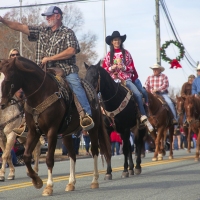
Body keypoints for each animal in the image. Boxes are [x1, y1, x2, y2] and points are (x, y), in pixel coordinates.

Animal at [0, 57, 111, 196]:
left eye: (10, 76)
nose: (2, 103)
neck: (40, 95)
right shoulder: (33, 131)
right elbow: (26, 156)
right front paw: (36, 180)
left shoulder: (51, 131)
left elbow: (49, 159)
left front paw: (48, 187)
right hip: (67, 134)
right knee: (72, 155)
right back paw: (71, 183)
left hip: (93, 129)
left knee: (95, 151)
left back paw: (94, 181)